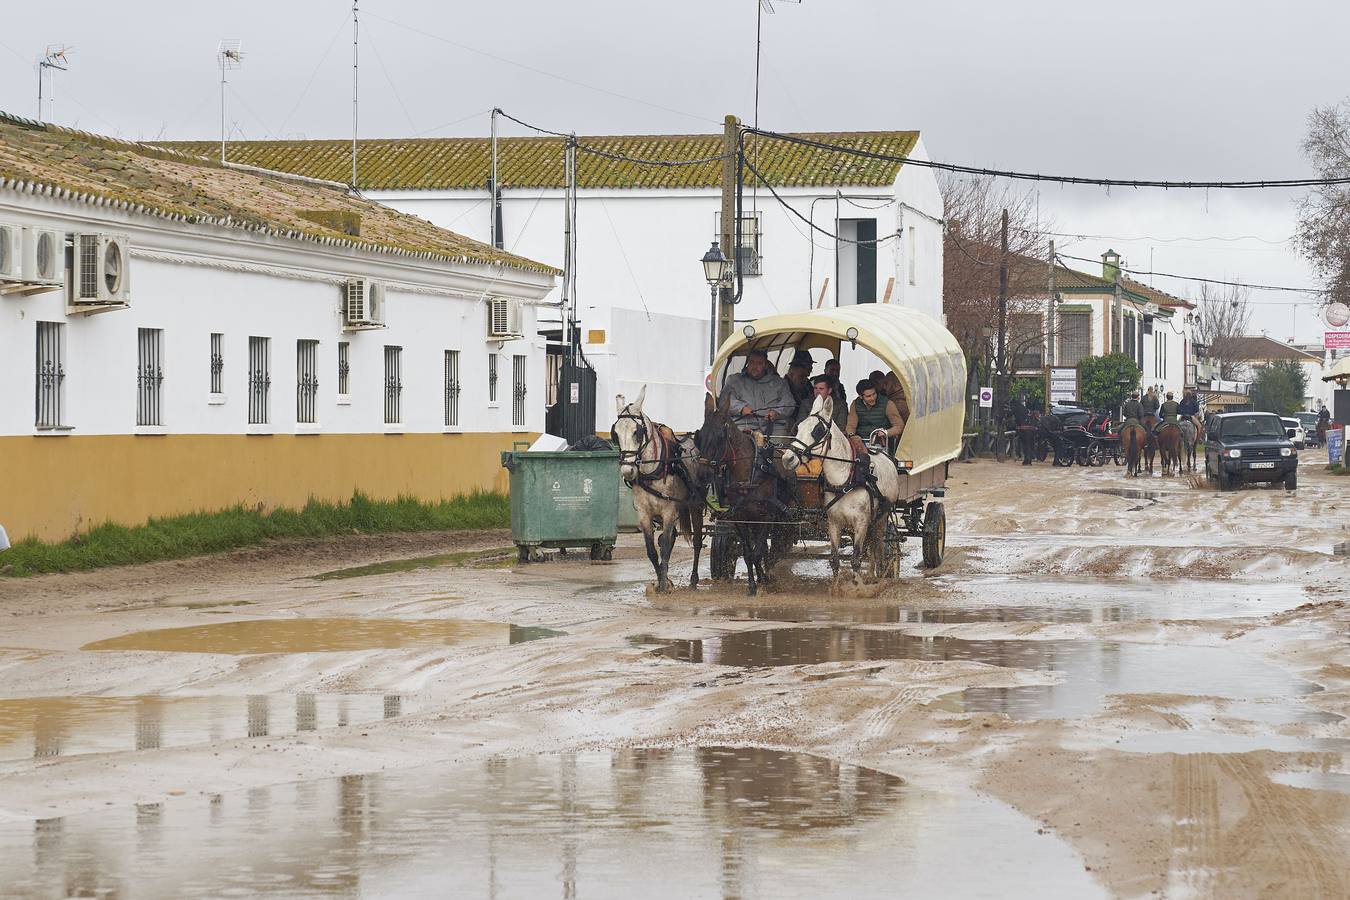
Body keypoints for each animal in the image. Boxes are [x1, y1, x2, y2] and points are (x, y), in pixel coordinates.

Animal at [615, 385, 712, 591]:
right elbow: (652, 550)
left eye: (637, 432)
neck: (654, 469)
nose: (627, 470)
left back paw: (694, 579)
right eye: (616, 433)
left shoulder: (669, 511)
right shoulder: (644, 514)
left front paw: (663, 585)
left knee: (697, 542)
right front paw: (662, 578)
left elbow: (666, 546)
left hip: (695, 505)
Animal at [777, 396, 901, 580]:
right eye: (798, 428)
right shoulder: (834, 522)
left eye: (818, 430)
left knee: (879, 549)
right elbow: (834, 559)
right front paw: (836, 586)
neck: (845, 481)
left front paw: (857, 585)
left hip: (881, 518)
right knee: (873, 549)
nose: (788, 458)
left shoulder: (861, 523)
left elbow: (856, 559)